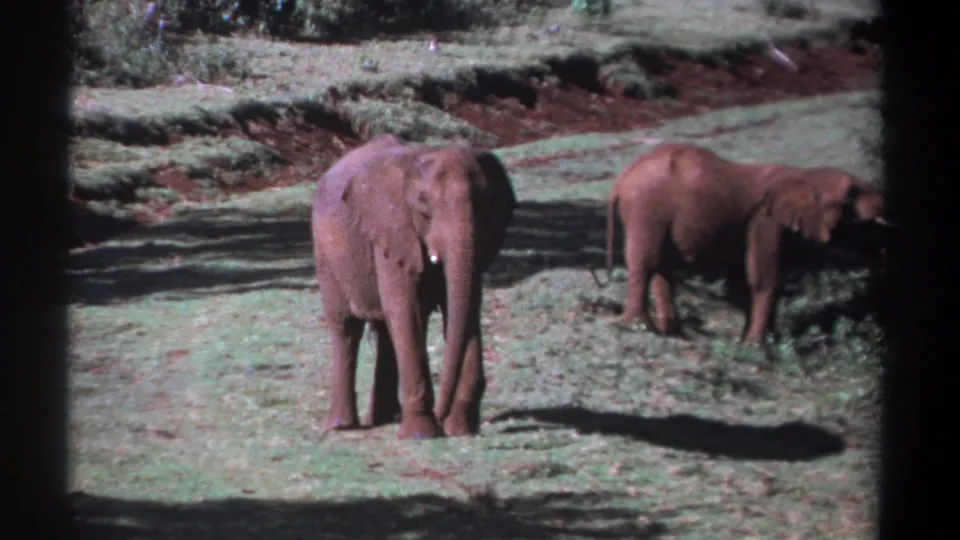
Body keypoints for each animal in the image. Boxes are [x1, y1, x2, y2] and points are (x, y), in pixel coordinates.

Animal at [311, 134, 517, 439]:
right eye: (424, 206)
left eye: (486, 203)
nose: (443, 415)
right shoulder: (391, 230)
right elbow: (405, 308)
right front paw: (423, 434)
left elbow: (464, 309)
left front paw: (460, 429)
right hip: (327, 255)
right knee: (346, 327)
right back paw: (342, 427)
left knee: (385, 330)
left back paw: (386, 417)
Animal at [604, 142, 888, 343]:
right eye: (850, 195)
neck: (803, 175)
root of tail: (623, 177)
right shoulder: (765, 220)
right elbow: (764, 277)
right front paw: (757, 345)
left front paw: (760, 341)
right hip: (646, 207)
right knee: (646, 262)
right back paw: (638, 327)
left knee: (662, 267)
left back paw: (672, 333)